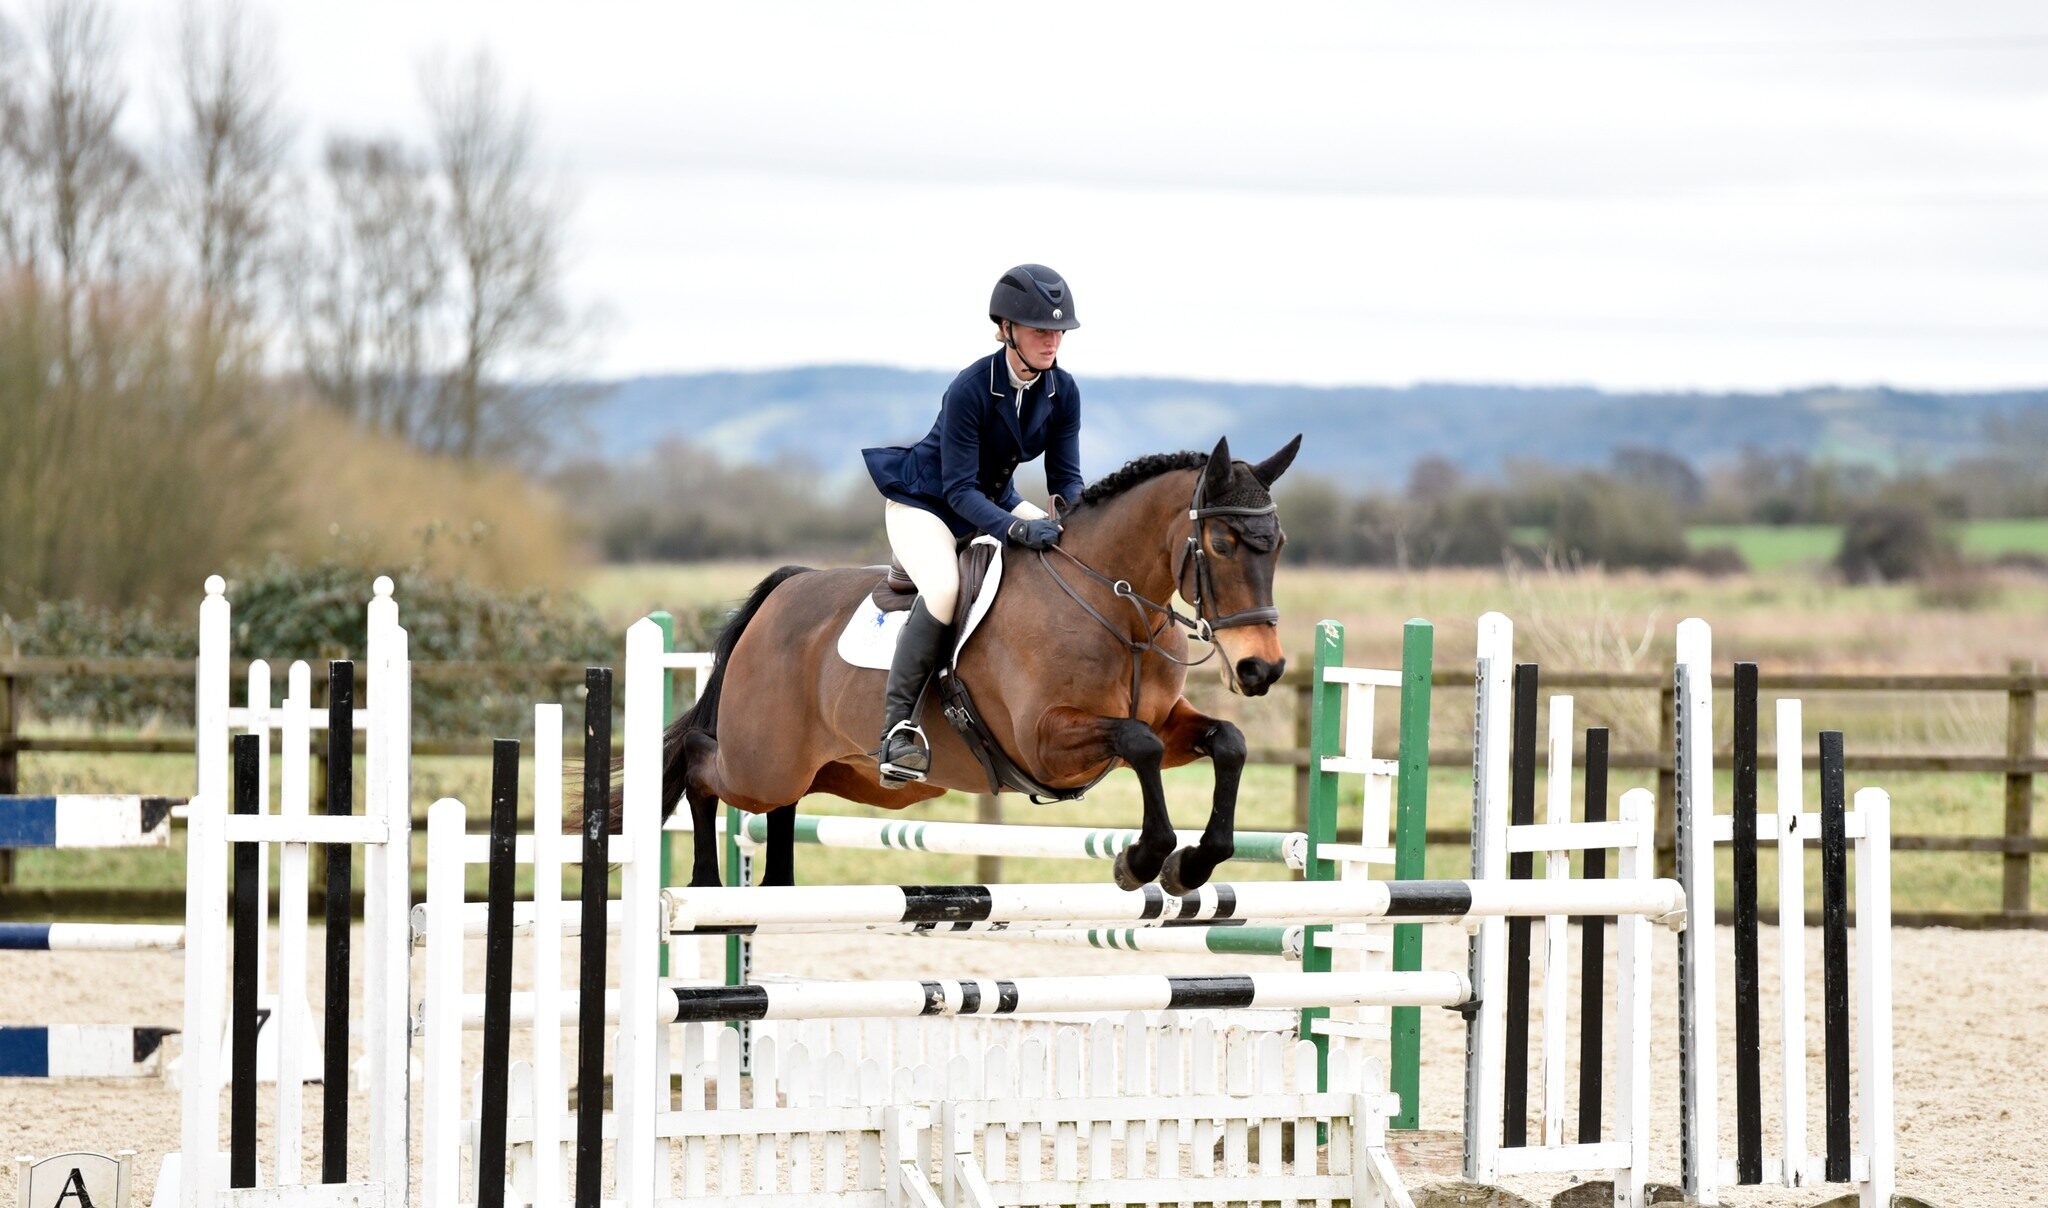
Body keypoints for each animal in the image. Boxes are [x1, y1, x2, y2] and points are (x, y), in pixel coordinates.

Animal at [655, 436, 1294, 900]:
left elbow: (1227, 741)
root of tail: (786, 589)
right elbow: (1140, 744)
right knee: (698, 762)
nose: (1261, 669)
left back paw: (774, 887)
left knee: (775, 806)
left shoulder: (1165, 720)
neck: (1116, 608)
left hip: (832, 774)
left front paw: (1191, 865)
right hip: (762, 763)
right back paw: (705, 882)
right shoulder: (1043, 743)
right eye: (1220, 543)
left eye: (1280, 543)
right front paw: (1140, 861)